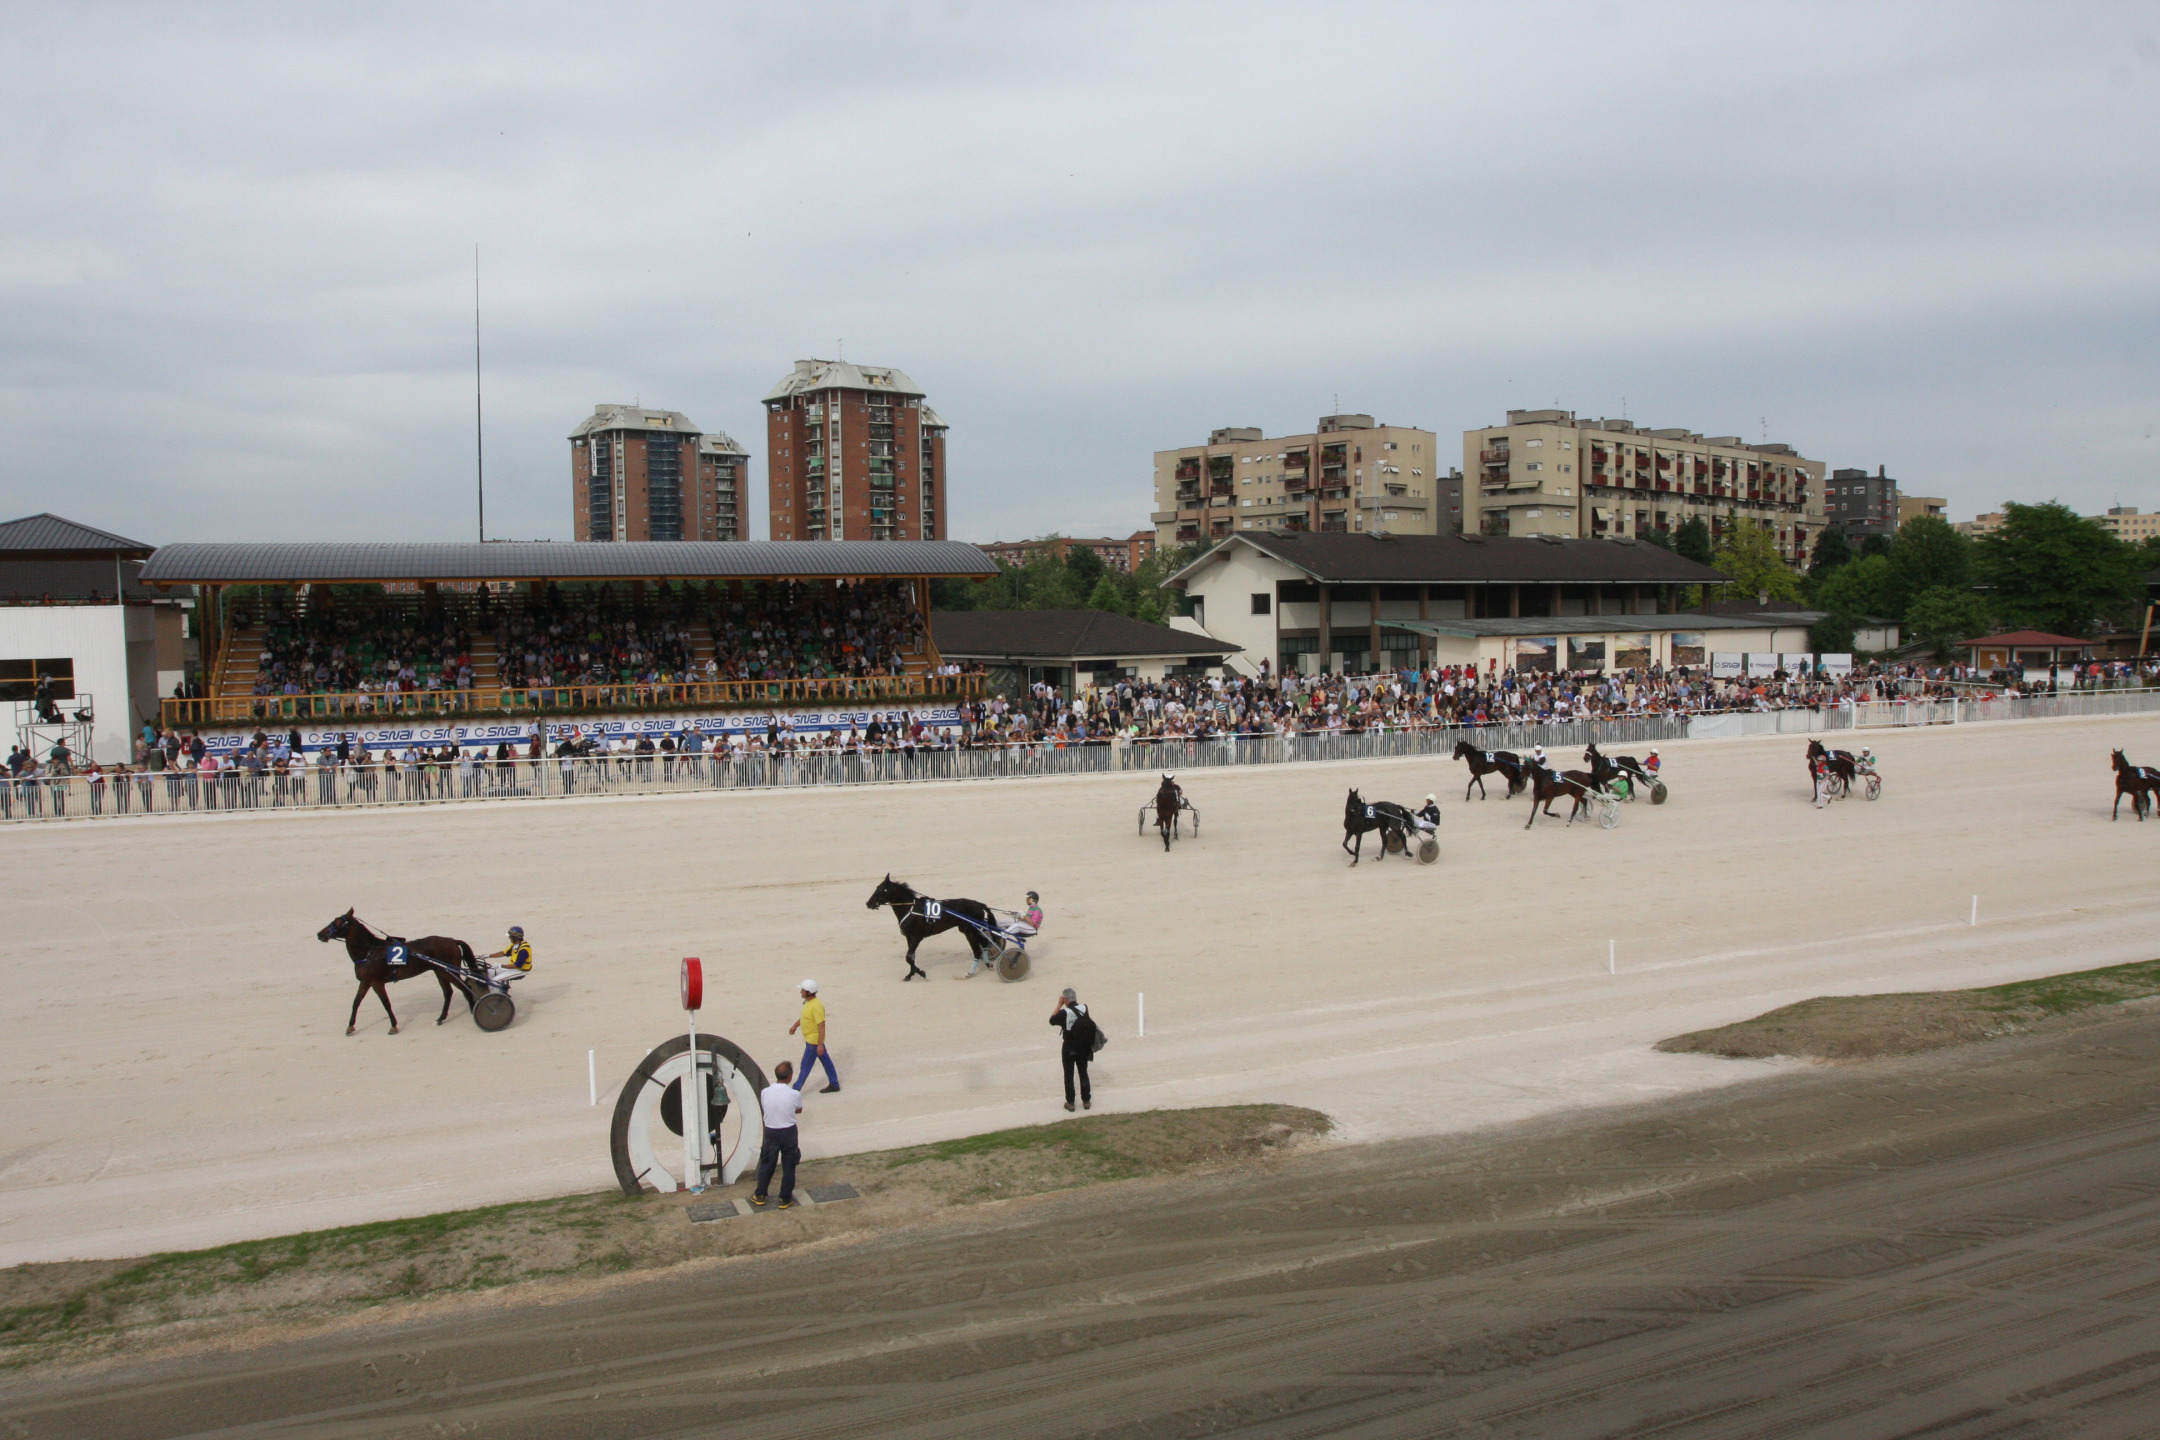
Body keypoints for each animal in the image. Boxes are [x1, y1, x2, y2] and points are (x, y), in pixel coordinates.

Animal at [315, 906, 477, 1031]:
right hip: (440, 971)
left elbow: (386, 1003)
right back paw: (440, 1019)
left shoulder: (376, 983)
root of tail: (452, 940)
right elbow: (356, 1002)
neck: (369, 953)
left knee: (465, 989)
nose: (320, 934)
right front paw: (350, 1027)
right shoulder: (365, 982)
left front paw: (393, 1025)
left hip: (448, 971)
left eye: (338, 922)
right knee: (448, 992)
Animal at [859, 872, 1002, 984]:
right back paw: (987, 964)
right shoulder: (909, 938)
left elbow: (908, 957)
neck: (910, 908)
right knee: (984, 944)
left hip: (970, 931)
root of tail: (979, 904)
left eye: (883, 890)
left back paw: (970, 973)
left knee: (977, 950)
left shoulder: (916, 937)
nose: (868, 903)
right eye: (877, 887)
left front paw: (921, 973)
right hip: (971, 930)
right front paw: (910, 975)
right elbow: (911, 957)